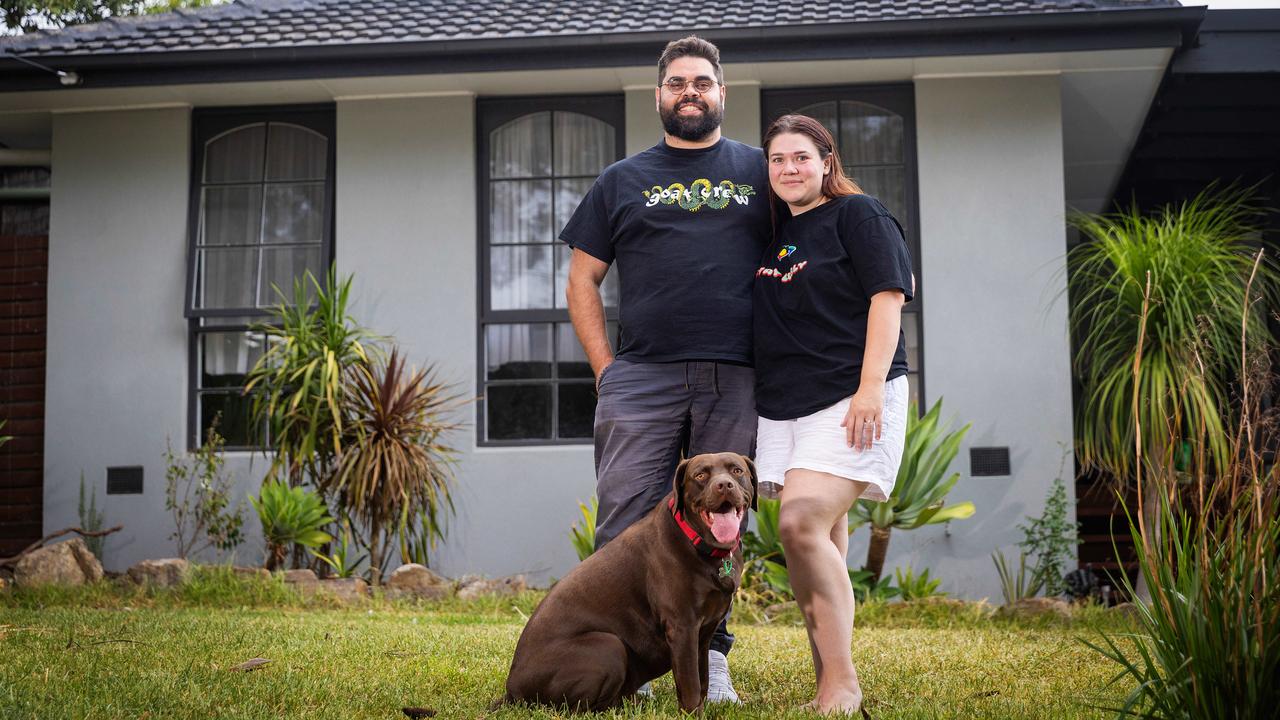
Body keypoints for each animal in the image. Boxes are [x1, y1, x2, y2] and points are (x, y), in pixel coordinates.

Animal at [496, 450, 752, 707]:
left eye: (736, 470)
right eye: (700, 475)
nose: (724, 485)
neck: (701, 545)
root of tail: (512, 691)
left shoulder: (704, 632)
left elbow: (702, 681)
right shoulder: (683, 627)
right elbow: (691, 687)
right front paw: (690, 712)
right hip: (609, 645)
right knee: (579, 706)